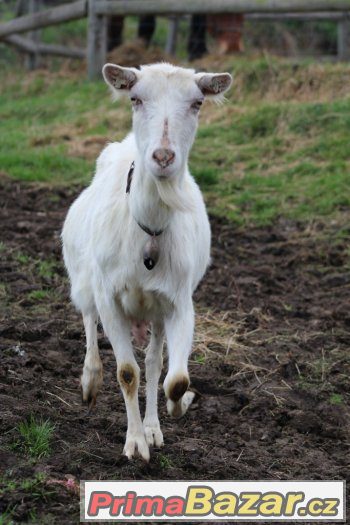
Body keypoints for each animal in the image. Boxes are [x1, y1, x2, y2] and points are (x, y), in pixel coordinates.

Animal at [62, 63, 232, 460]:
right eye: (135, 99)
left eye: (198, 103)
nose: (163, 157)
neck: (149, 230)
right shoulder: (109, 297)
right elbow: (127, 372)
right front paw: (135, 444)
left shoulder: (179, 302)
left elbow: (173, 377)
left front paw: (174, 409)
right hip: (85, 278)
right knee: (88, 317)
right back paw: (90, 380)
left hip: (154, 311)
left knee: (154, 361)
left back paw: (155, 423)